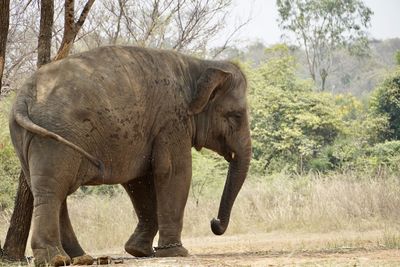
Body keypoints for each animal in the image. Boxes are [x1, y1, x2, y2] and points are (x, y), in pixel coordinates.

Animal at [8, 45, 250, 266]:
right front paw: (176, 253)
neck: (198, 64)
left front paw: (139, 251)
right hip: (53, 137)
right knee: (52, 191)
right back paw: (56, 259)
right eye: (236, 116)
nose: (214, 222)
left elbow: (139, 181)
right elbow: (174, 171)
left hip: (26, 138)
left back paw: (80, 258)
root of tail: (23, 98)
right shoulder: (172, 120)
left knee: (53, 192)